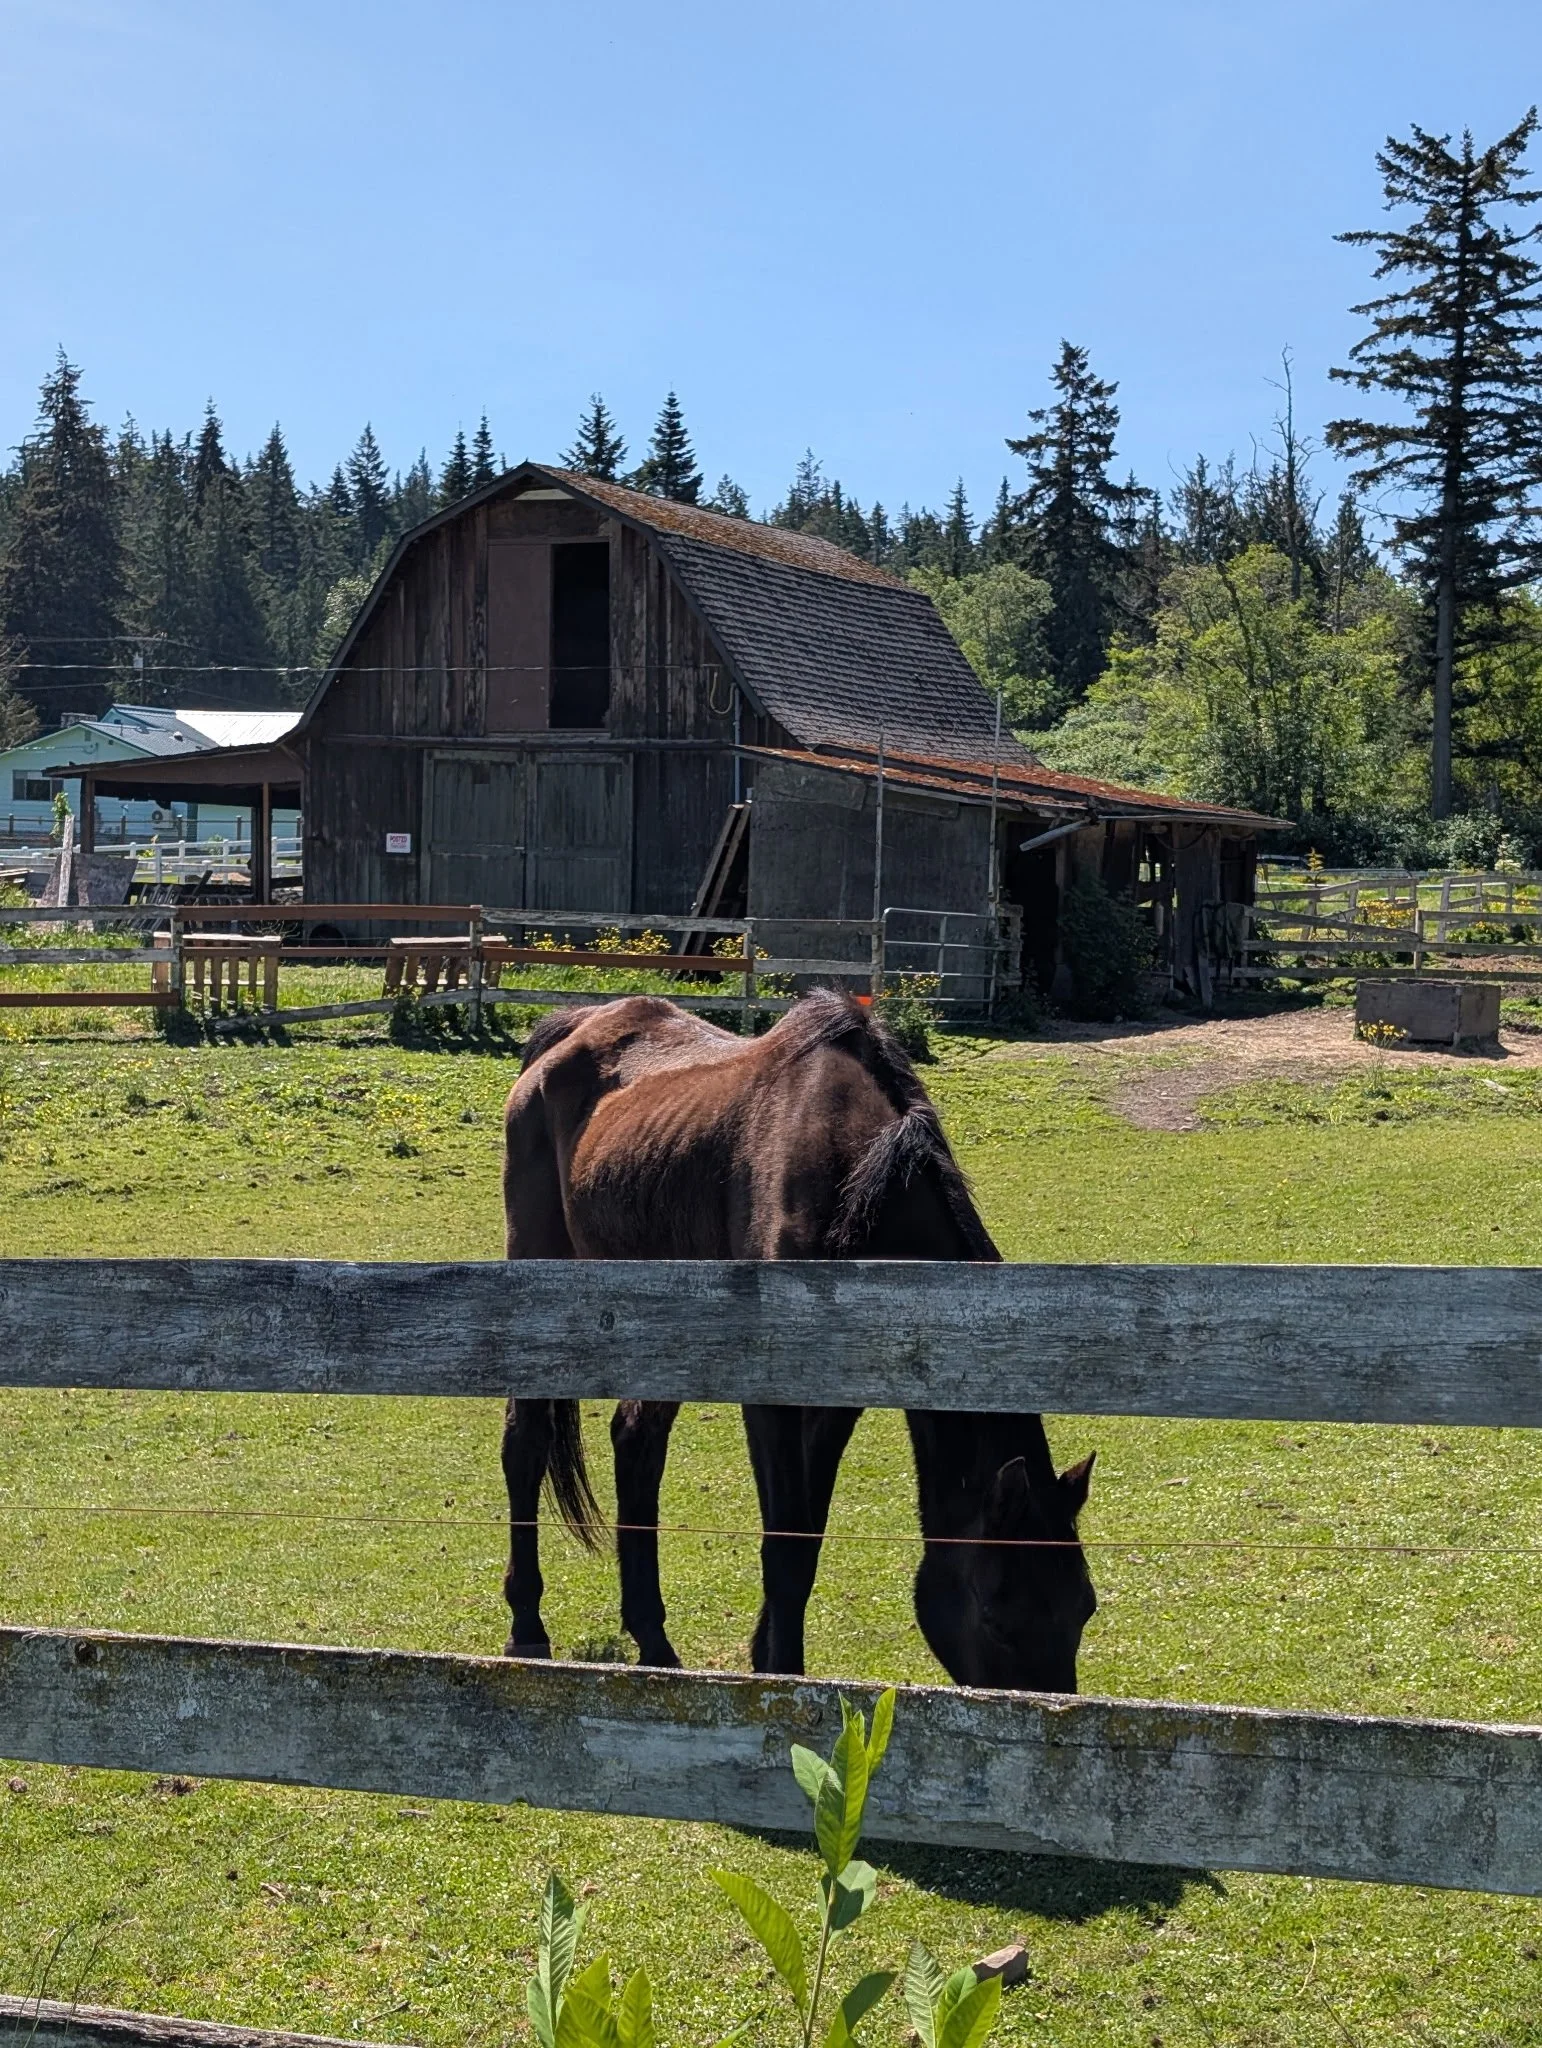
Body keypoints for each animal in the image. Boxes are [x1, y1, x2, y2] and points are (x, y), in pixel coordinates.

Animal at [498, 987, 1096, 1691]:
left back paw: (654, 1641)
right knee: (526, 1443)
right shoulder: (771, 1397)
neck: (857, 1183)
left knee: (637, 1441)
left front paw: (769, 1659)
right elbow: (783, 1544)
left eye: (1083, 1609)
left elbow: (806, 1539)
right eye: (997, 1618)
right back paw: (527, 1626)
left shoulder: (837, 1399)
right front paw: (782, 1676)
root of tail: (571, 1032)